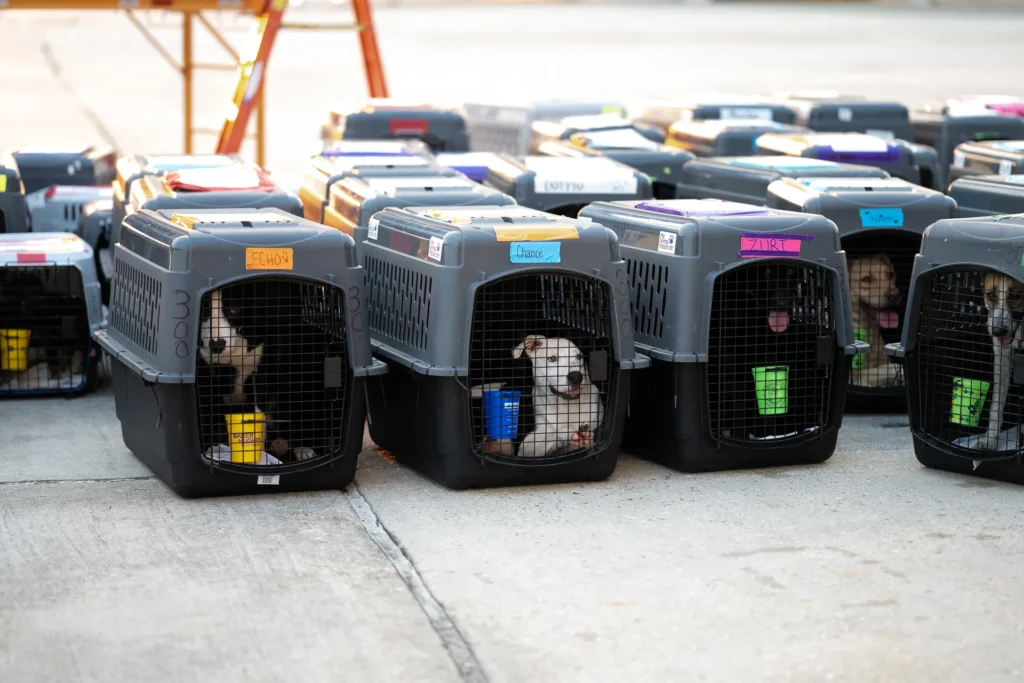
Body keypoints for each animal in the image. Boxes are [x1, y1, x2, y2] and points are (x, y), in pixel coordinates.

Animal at [973, 273, 1024, 452]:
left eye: (1016, 296)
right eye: (990, 295)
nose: (998, 331)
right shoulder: (1002, 356)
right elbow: (996, 404)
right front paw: (990, 440)